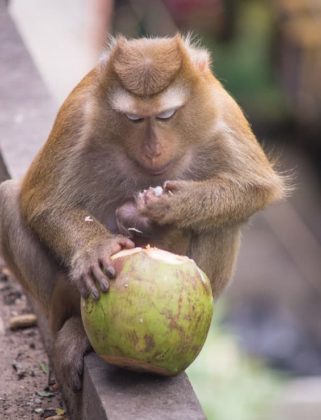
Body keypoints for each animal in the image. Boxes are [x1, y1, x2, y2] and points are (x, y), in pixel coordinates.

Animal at [0, 34, 284, 392]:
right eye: (134, 119)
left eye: (165, 115)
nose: (153, 149)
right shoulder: (77, 114)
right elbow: (41, 201)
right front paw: (95, 249)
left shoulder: (223, 111)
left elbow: (255, 187)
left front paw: (172, 205)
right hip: (59, 303)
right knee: (9, 198)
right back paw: (76, 326)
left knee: (221, 224)